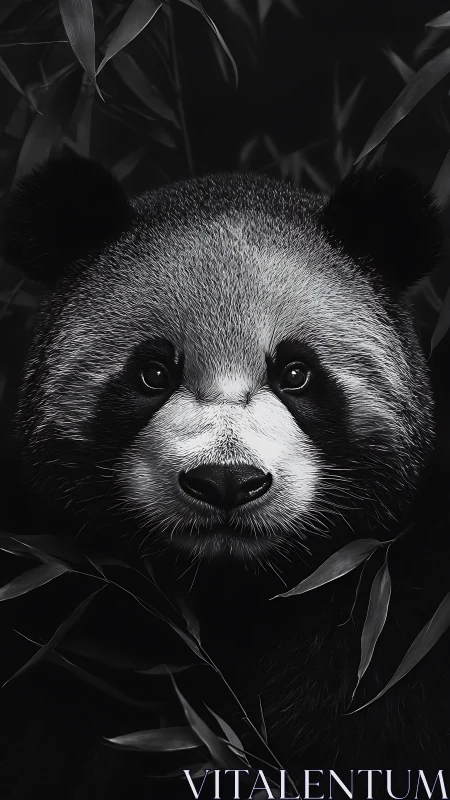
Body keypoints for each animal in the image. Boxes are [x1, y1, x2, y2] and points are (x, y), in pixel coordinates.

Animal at [1, 153, 450, 800]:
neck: (229, 589)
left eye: (296, 372)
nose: (226, 483)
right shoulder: (51, 597)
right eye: (153, 373)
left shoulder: (397, 604)